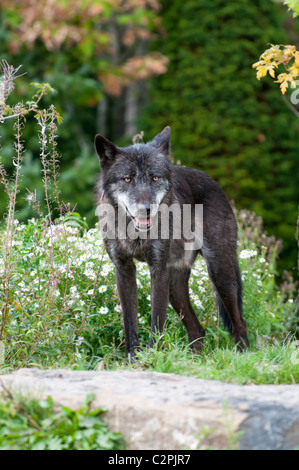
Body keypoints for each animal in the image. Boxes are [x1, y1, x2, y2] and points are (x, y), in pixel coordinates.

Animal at [95, 126, 250, 358]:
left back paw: (244, 357)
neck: (134, 232)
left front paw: (150, 358)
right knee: (198, 330)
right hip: (175, 287)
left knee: (239, 322)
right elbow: (129, 323)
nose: (146, 209)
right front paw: (132, 359)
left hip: (220, 273)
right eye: (127, 179)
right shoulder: (124, 269)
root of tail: (215, 184)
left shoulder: (158, 269)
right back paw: (195, 362)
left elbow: (156, 323)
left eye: (155, 178)